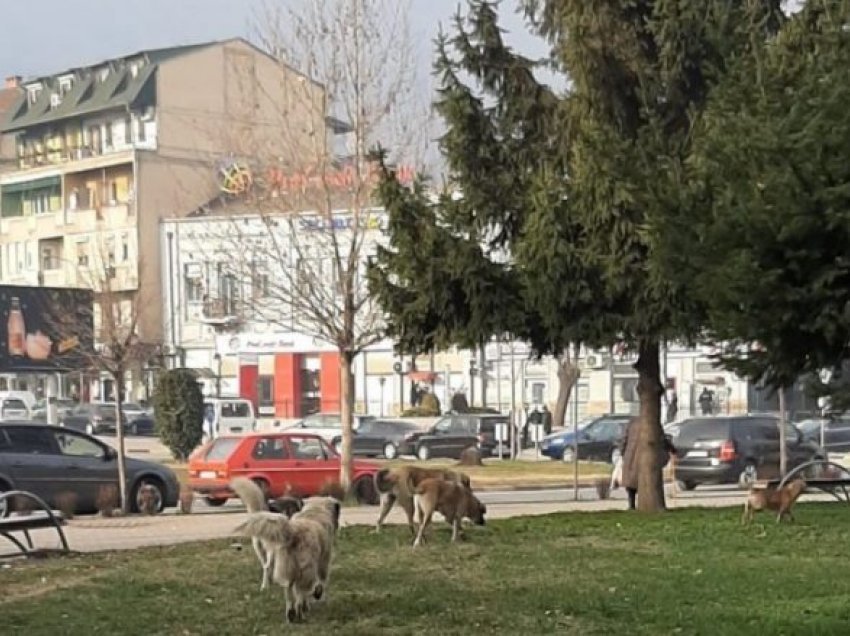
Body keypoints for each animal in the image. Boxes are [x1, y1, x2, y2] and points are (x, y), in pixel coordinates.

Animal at [235, 494, 342, 624]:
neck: (314, 511)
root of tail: (293, 532)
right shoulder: (323, 560)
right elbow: (321, 582)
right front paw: (317, 595)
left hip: (286, 567)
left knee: (289, 591)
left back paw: (291, 613)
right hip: (304, 569)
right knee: (299, 593)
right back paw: (300, 612)